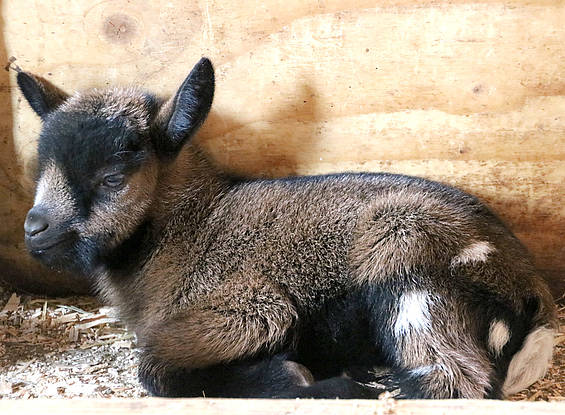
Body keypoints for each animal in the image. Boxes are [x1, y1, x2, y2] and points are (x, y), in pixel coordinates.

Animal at [18, 58, 556, 400]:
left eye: (113, 178)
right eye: (41, 167)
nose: (33, 230)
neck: (187, 227)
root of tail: (532, 293)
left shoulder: (251, 307)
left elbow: (153, 370)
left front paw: (291, 374)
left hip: (404, 253)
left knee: (456, 381)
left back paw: (360, 384)